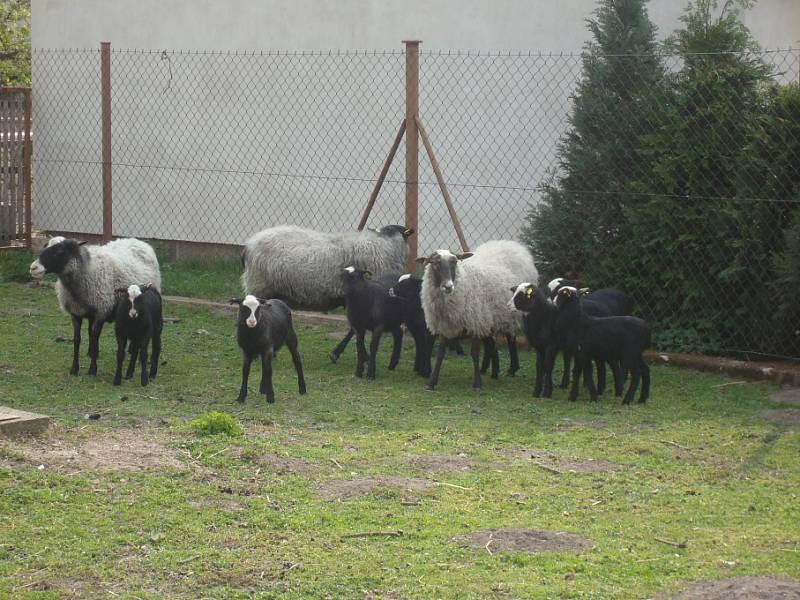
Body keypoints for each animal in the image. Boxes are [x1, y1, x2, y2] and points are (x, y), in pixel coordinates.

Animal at [29, 238, 161, 376]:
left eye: (60, 250)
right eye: (45, 246)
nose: (33, 268)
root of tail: (138, 241)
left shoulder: (101, 312)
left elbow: (95, 336)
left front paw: (92, 369)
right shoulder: (75, 314)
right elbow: (77, 339)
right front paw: (74, 368)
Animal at [418, 241, 536, 392]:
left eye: (454, 262)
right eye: (434, 263)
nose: (448, 286)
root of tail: (513, 245)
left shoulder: (474, 322)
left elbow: (474, 353)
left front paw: (477, 383)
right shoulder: (445, 325)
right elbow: (440, 353)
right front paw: (432, 382)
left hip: (509, 314)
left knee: (511, 338)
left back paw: (511, 368)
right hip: (490, 316)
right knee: (491, 343)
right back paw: (489, 370)